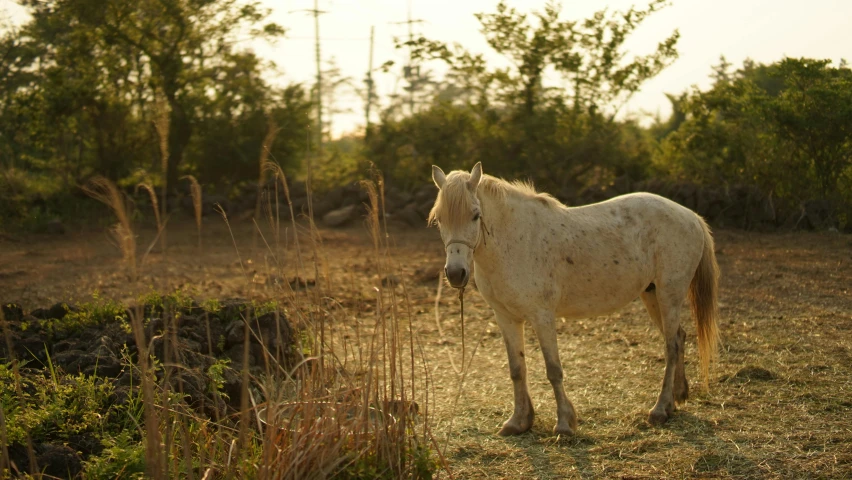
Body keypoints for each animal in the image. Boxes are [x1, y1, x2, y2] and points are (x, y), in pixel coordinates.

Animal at [426, 163, 720, 436]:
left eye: (475, 215)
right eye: (439, 219)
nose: (456, 273)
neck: (516, 239)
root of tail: (691, 216)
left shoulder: (542, 316)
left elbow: (553, 369)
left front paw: (564, 424)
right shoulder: (506, 317)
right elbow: (517, 369)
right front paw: (518, 422)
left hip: (669, 294)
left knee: (671, 346)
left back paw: (659, 410)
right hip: (652, 295)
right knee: (679, 338)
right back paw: (676, 399)